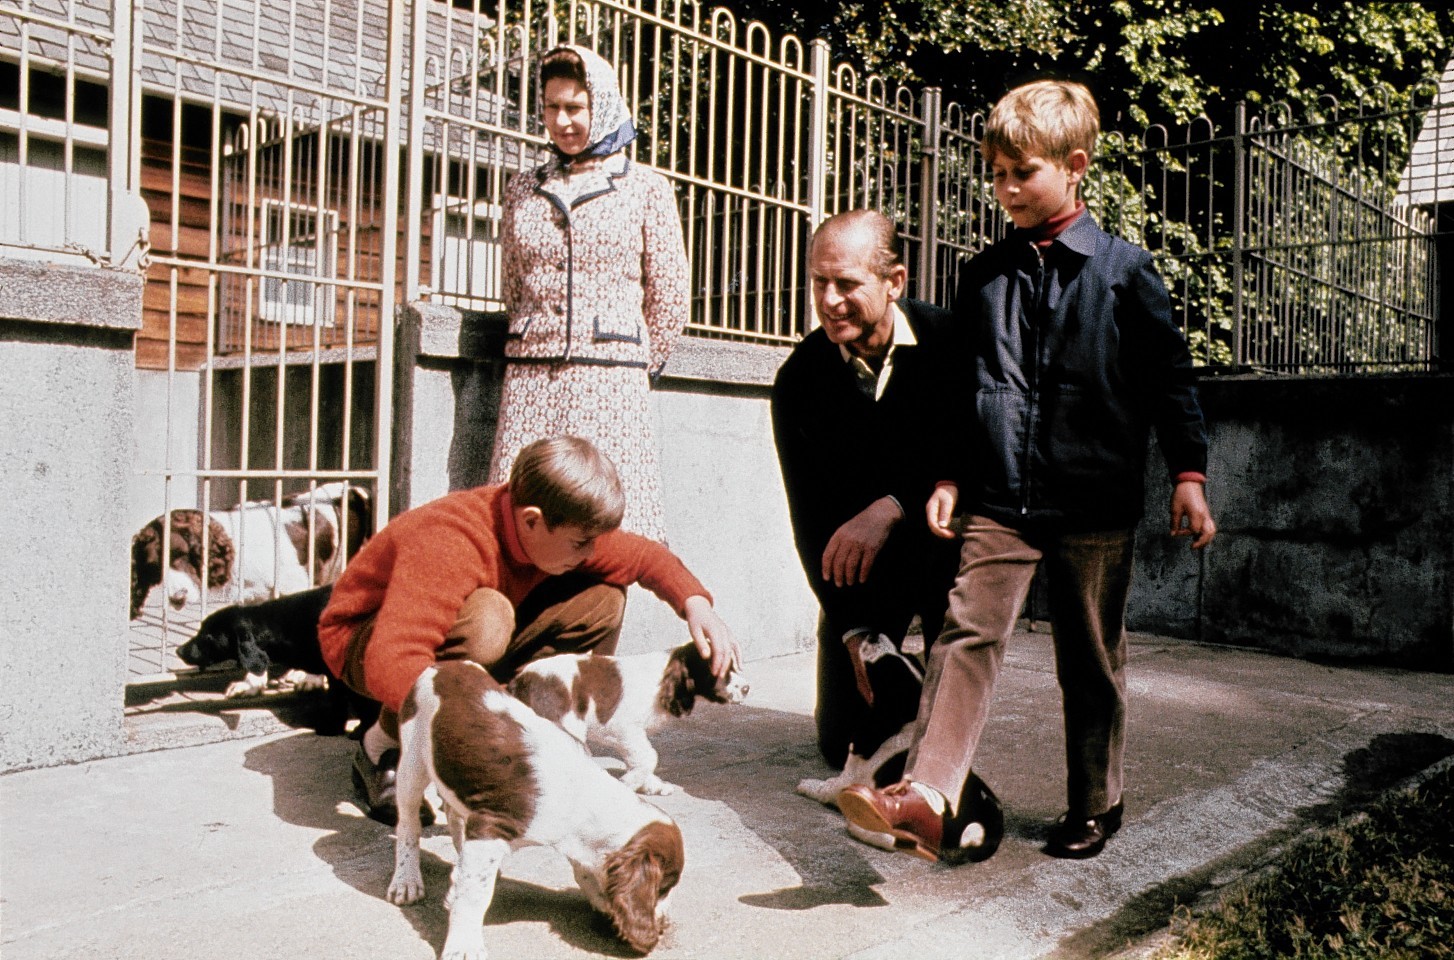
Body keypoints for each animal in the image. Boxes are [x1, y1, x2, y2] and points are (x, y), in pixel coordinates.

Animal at [383, 660, 683, 960]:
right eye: (663, 887)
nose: (664, 924)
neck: (579, 794)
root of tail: (441, 666)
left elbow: (585, 871)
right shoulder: (491, 827)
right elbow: (475, 895)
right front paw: (464, 945)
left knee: (452, 811)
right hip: (412, 760)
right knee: (408, 824)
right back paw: (406, 881)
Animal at [505, 645, 750, 797]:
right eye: (722, 671)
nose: (747, 688)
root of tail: (519, 682)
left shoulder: (630, 735)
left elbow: (642, 757)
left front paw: (652, 785)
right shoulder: (622, 728)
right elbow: (649, 756)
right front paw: (630, 783)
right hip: (565, 726)